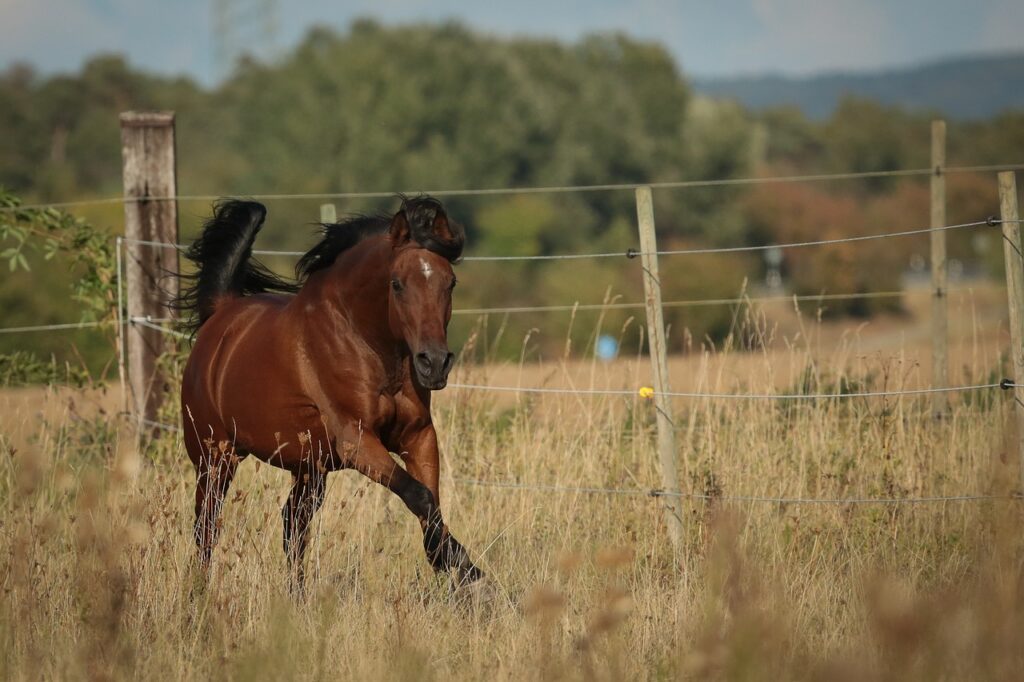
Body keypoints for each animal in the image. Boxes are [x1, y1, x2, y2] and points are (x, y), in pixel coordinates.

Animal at [176, 195, 482, 591]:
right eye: (397, 284)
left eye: (451, 282)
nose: (434, 363)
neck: (364, 342)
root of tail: (222, 313)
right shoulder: (357, 442)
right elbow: (419, 495)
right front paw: (465, 568)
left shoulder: (418, 436)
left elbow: (432, 504)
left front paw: (460, 569)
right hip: (215, 456)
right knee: (207, 526)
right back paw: (199, 594)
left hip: (309, 467)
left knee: (293, 525)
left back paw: (296, 595)